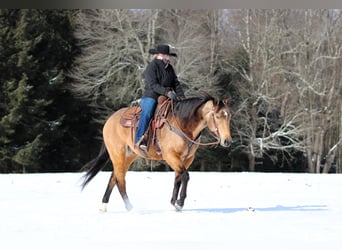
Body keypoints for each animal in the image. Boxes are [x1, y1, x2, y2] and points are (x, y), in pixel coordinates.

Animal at [81, 94, 232, 211]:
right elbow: (185, 176)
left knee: (114, 177)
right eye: (217, 116)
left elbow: (178, 178)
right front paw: (180, 203)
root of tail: (109, 120)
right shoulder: (171, 156)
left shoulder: (187, 159)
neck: (183, 125)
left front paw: (173, 204)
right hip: (118, 154)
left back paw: (104, 206)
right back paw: (130, 208)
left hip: (129, 156)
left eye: (228, 116)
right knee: (120, 179)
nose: (227, 141)